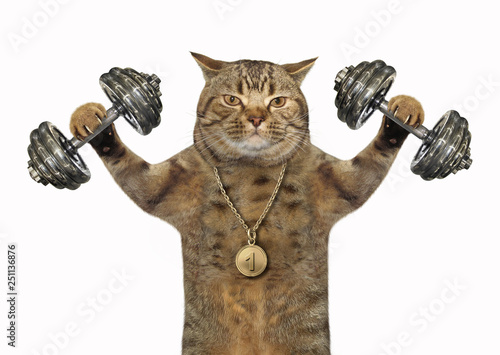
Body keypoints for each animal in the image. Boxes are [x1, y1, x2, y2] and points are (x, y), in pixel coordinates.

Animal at [68, 53, 424, 355]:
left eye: (277, 101)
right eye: (232, 99)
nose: (255, 118)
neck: (251, 173)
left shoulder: (339, 181)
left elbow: (371, 161)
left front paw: (402, 110)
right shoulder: (164, 184)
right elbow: (130, 168)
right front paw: (91, 119)